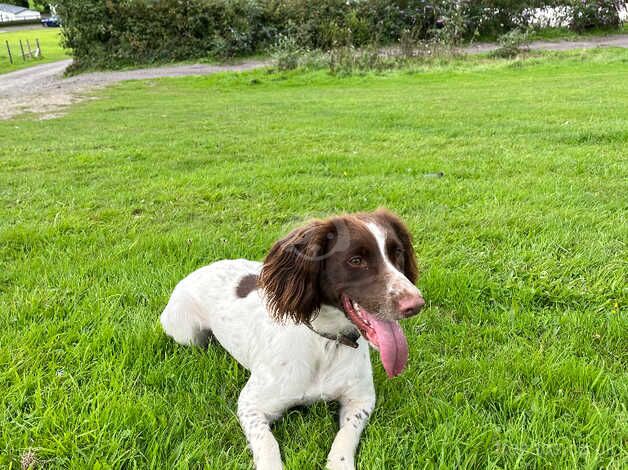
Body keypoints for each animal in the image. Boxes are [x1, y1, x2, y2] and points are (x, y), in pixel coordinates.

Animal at [161, 209, 426, 470]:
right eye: (356, 260)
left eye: (397, 253)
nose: (415, 304)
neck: (325, 342)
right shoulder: (250, 404)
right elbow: (267, 443)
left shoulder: (361, 399)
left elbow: (345, 436)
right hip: (186, 333)